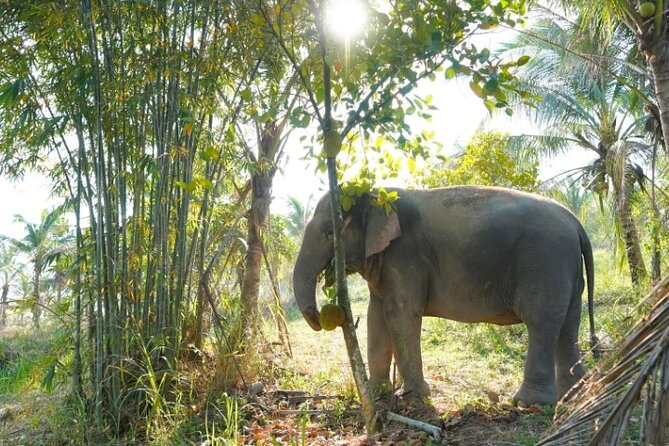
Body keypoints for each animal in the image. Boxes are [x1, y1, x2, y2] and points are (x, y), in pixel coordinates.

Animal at [292, 186, 596, 406]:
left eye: (330, 233)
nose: (321, 317)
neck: (375, 192)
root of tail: (577, 223)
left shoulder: (405, 255)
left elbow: (400, 313)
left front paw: (413, 396)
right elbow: (375, 316)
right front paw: (378, 393)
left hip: (545, 261)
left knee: (541, 322)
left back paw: (529, 404)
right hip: (566, 268)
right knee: (568, 325)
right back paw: (575, 394)